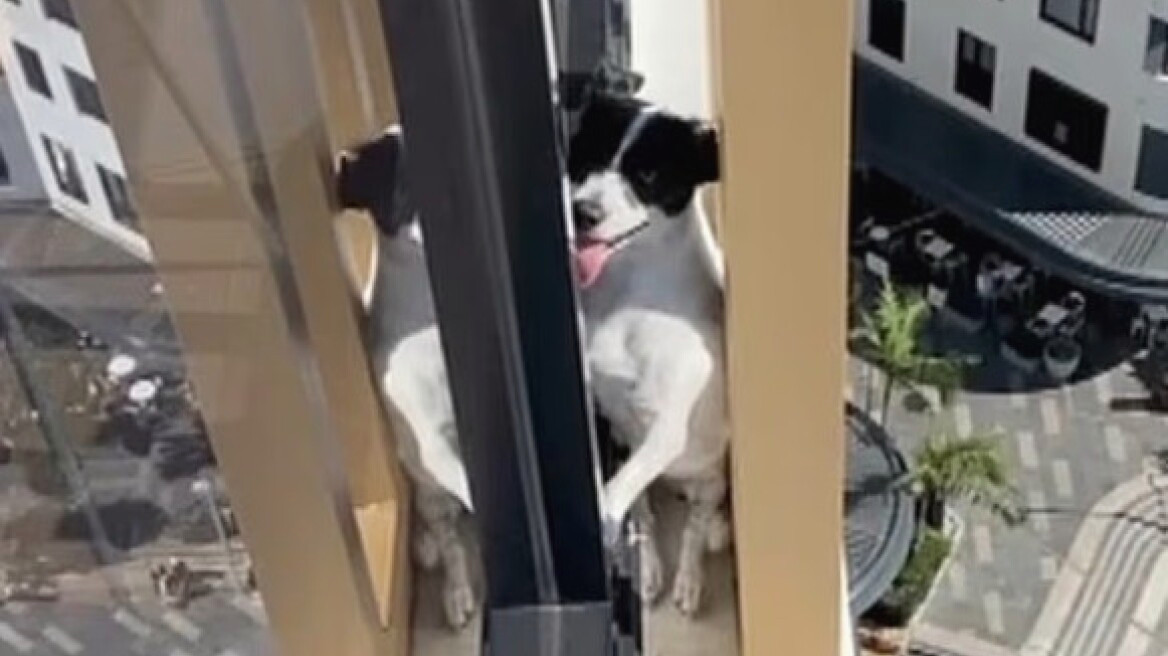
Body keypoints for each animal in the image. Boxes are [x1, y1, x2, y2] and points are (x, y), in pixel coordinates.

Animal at [568, 92, 731, 616]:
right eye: (588, 156)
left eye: (649, 175)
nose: (582, 212)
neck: (627, 291)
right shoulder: (601, 407)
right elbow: (623, 493)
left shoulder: (666, 428)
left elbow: (615, 491)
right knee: (645, 515)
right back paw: (651, 568)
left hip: (710, 484)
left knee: (695, 530)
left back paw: (689, 578)